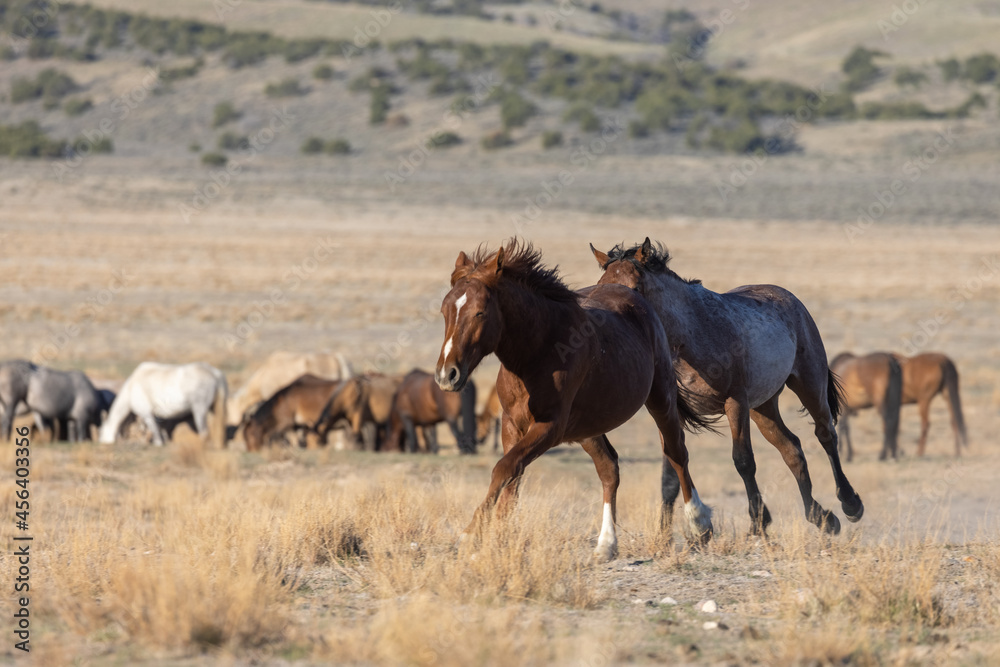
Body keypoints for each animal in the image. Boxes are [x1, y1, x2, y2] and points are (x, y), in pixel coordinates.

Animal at [99, 360, 229, 448]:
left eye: (101, 433)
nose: (101, 443)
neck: (130, 389)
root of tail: (215, 374)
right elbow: (160, 428)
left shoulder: (146, 413)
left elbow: (154, 428)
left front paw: (158, 443)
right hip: (215, 408)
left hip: (199, 410)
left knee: (204, 432)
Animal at [436, 240, 712, 560]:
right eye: (444, 310)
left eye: (480, 312)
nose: (447, 375)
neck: (539, 350)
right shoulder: (510, 424)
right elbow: (511, 479)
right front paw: (499, 540)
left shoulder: (550, 427)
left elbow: (504, 469)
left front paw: (470, 535)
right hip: (587, 428)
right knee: (609, 468)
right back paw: (606, 544)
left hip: (660, 399)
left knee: (676, 452)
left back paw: (699, 524)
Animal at [588, 240, 864, 536]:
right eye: (601, 284)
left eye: (636, 287)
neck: (692, 334)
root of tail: (791, 299)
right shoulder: (669, 412)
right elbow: (671, 471)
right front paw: (665, 535)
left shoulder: (735, 404)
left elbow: (743, 461)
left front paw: (757, 522)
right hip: (763, 407)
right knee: (792, 449)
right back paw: (820, 516)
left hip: (808, 384)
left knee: (826, 435)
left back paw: (850, 504)